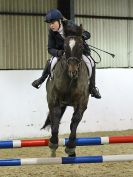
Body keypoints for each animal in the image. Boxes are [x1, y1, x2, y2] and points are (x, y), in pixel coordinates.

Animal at [41, 24, 90, 156]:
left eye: (81, 46)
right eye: (64, 47)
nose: (73, 71)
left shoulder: (82, 101)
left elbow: (76, 119)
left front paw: (71, 147)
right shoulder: (54, 100)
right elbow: (56, 117)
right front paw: (53, 142)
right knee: (54, 117)